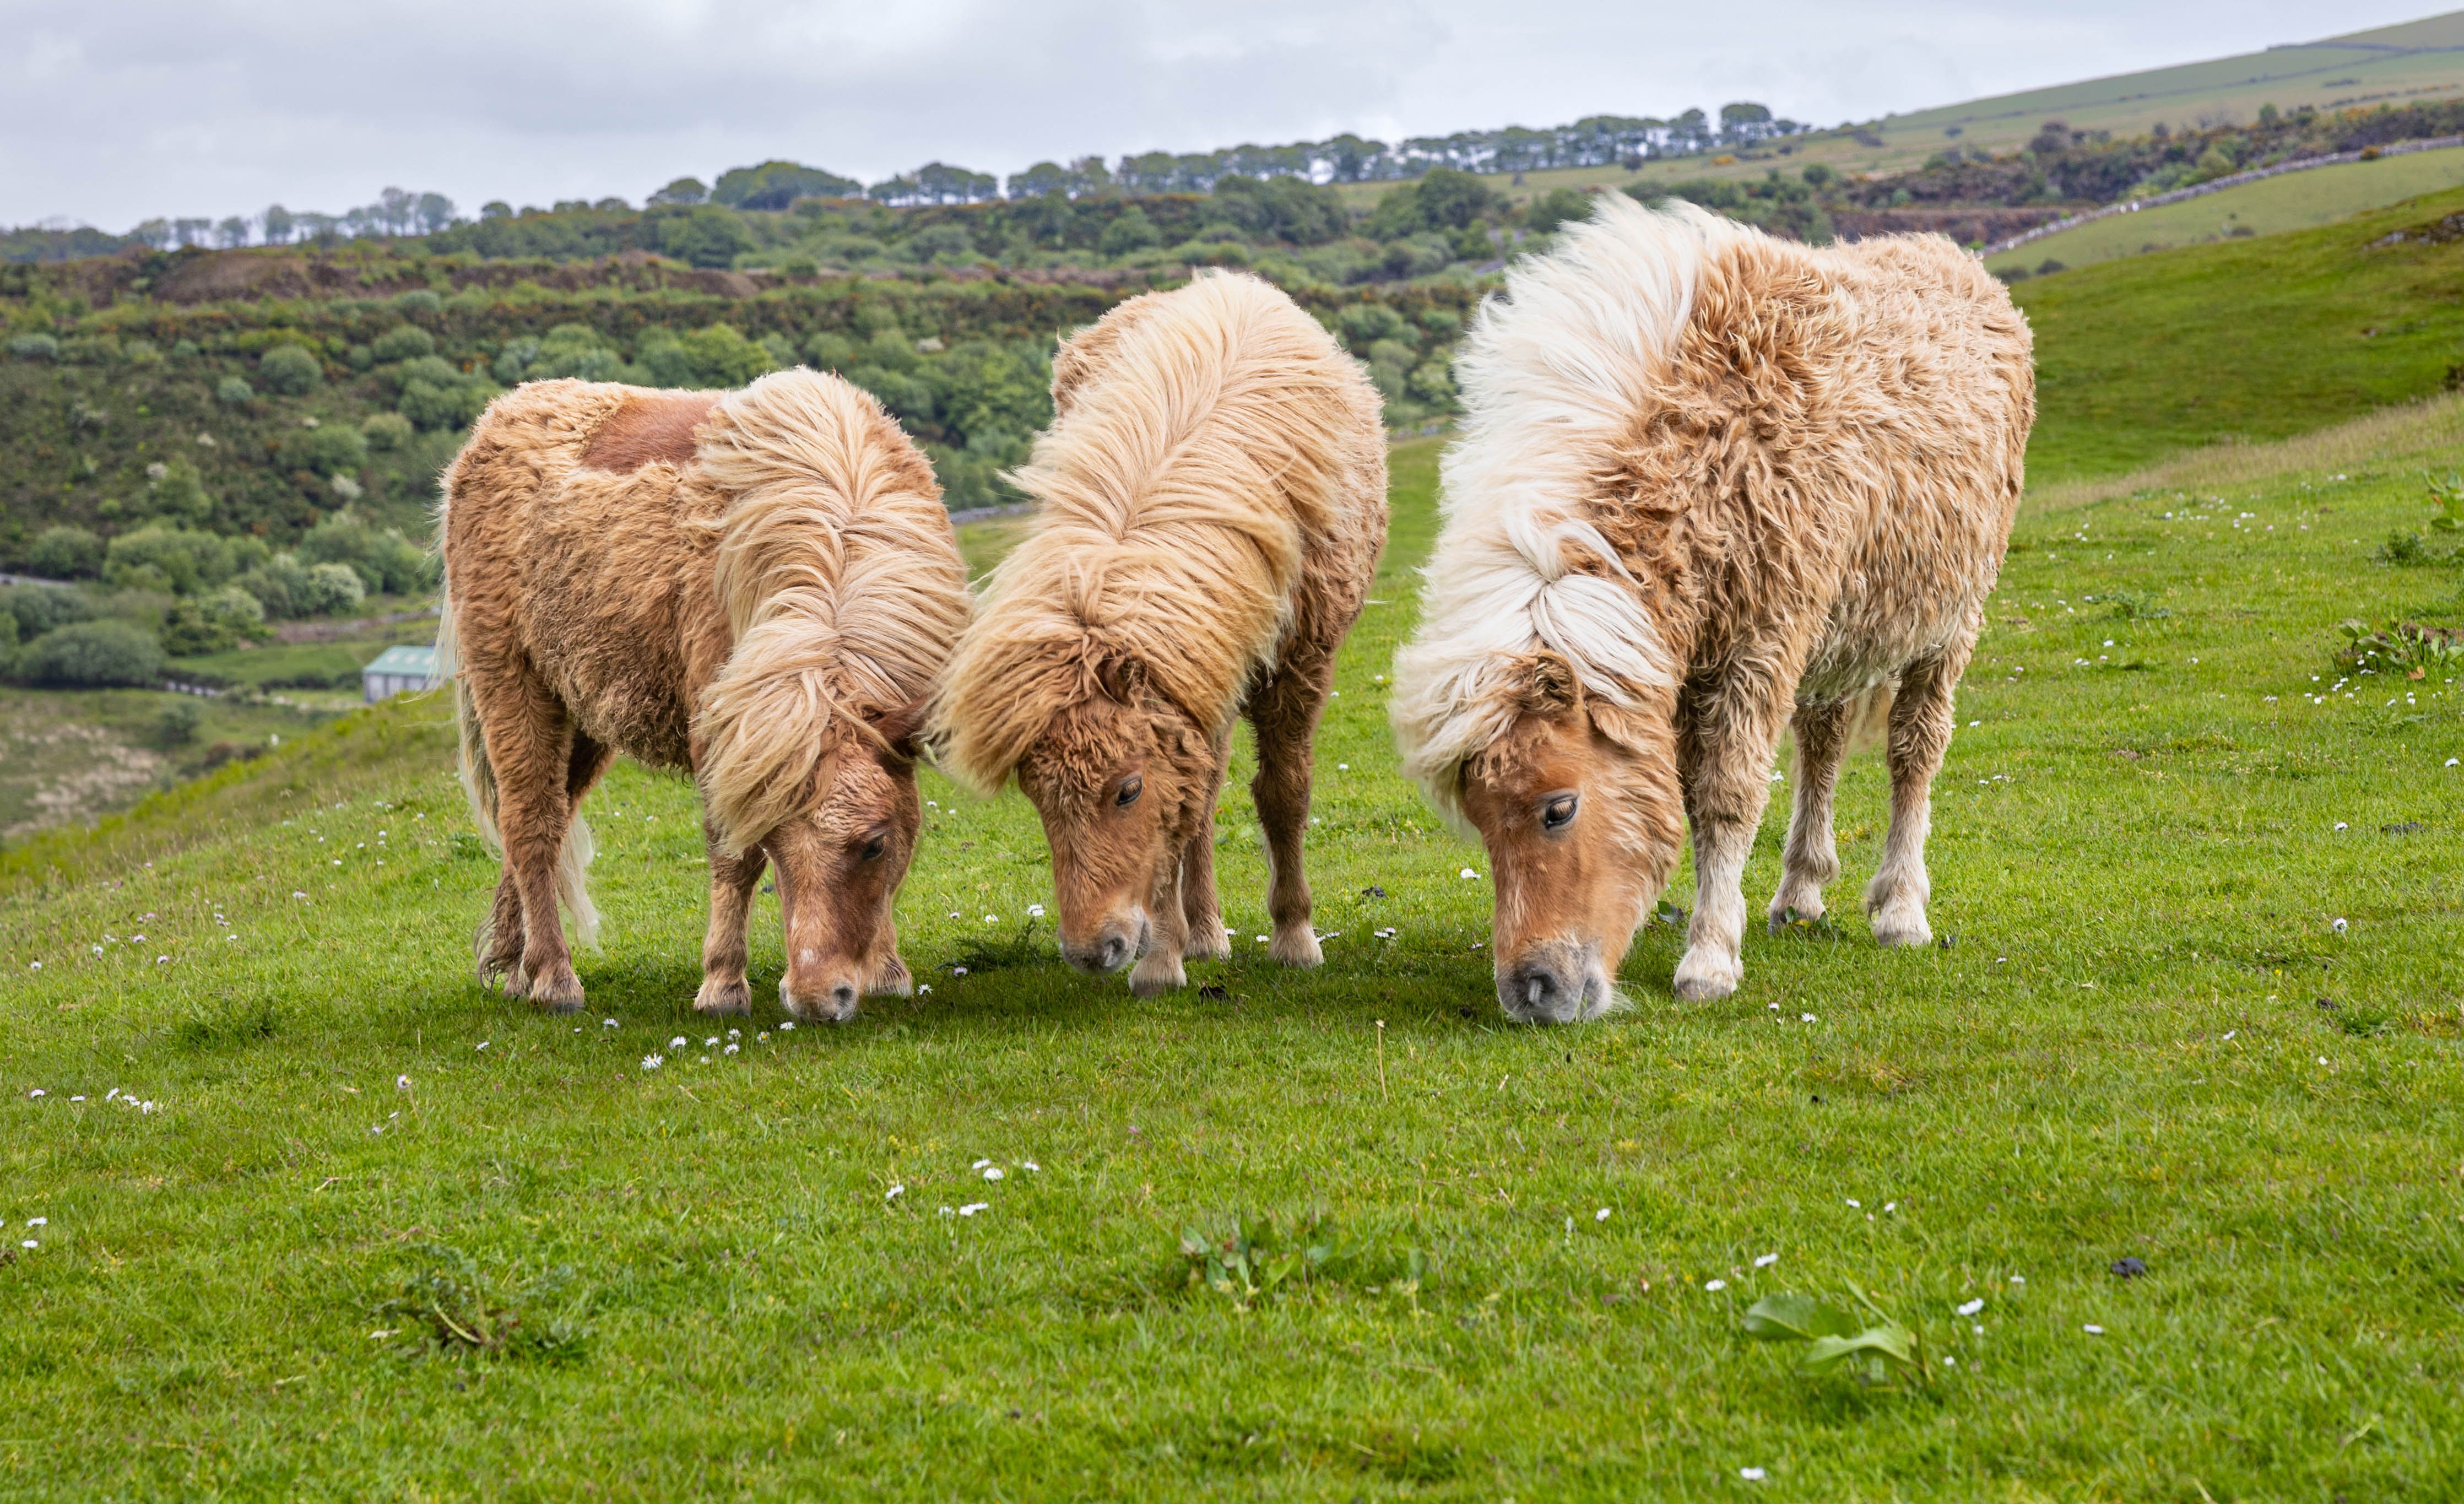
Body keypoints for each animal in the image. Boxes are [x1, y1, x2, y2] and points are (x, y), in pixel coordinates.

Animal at [438, 369, 971, 1019]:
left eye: (874, 846)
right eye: (774, 841)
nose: (817, 998)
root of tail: (506, 411)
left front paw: (888, 970)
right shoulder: (728, 730)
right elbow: (731, 856)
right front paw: (723, 984)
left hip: (582, 717)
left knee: (549, 820)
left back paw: (515, 966)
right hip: (512, 686)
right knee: (529, 825)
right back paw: (553, 978)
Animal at [928, 271, 1387, 995]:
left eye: (1126, 791)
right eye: (1037, 799)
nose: (1093, 951)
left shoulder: (1300, 666)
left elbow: (1283, 796)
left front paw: (1295, 936)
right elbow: (1183, 814)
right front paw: (1164, 957)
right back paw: (1201, 934)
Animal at [1390, 195, 2035, 1021]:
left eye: (1558, 808)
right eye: (1477, 818)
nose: (1532, 992)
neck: (1704, 450)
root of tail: (1965, 266)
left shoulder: (1758, 646)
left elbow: (1725, 797)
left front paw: (1709, 958)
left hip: (1946, 623)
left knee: (1914, 750)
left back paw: (1899, 908)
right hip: (1837, 632)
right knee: (1822, 742)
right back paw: (1801, 890)